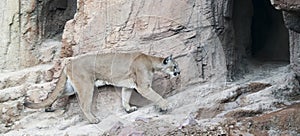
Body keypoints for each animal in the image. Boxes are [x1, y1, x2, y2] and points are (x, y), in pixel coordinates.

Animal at [24, 52, 180, 123]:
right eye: (175, 66)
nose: (179, 72)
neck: (151, 61)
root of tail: (68, 63)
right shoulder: (143, 86)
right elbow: (157, 96)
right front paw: (166, 105)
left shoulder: (128, 86)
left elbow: (125, 97)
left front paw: (128, 109)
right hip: (86, 86)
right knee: (84, 105)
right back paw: (93, 120)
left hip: (70, 87)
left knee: (55, 93)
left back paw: (48, 107)